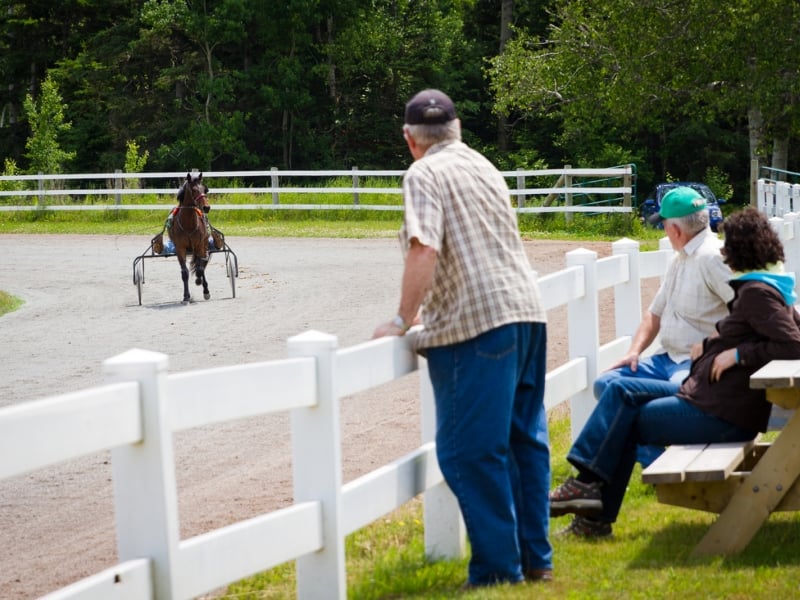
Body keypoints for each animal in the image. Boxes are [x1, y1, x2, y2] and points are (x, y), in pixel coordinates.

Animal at [170, 173, 212, 304]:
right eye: (193, 190)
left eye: (205, 189)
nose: (206, 207)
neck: (188, 224)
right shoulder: (180, 249)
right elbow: (184, 273)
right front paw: (186, 296)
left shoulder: (200, 246)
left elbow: (200, 268)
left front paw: (200, 282)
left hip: (202, 245)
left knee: (202, 264)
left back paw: (204, 287)